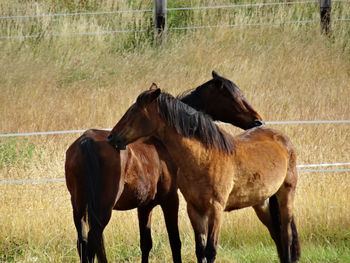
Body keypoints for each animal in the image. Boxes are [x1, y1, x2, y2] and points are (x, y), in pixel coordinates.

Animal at [65, 71, 262, 263]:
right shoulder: (170, 200)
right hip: (102, 209)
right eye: (231, 96)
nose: (258, 121)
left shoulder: (145, 206)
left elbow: (146, 244)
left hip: (79, 208)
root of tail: (85, 141)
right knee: (94, 241)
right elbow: (175, 242)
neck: (159, 144)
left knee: (83, 243)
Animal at [108, 87, 300, 263]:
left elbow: (211, 251)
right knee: (276, 234)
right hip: (261, 202)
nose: (111, 137)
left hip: (286, 194)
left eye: (133, 111)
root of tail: (282, 138)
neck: (203, 158)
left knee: (286, 235)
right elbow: (200, 250)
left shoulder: (216, 209)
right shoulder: (195, 209)